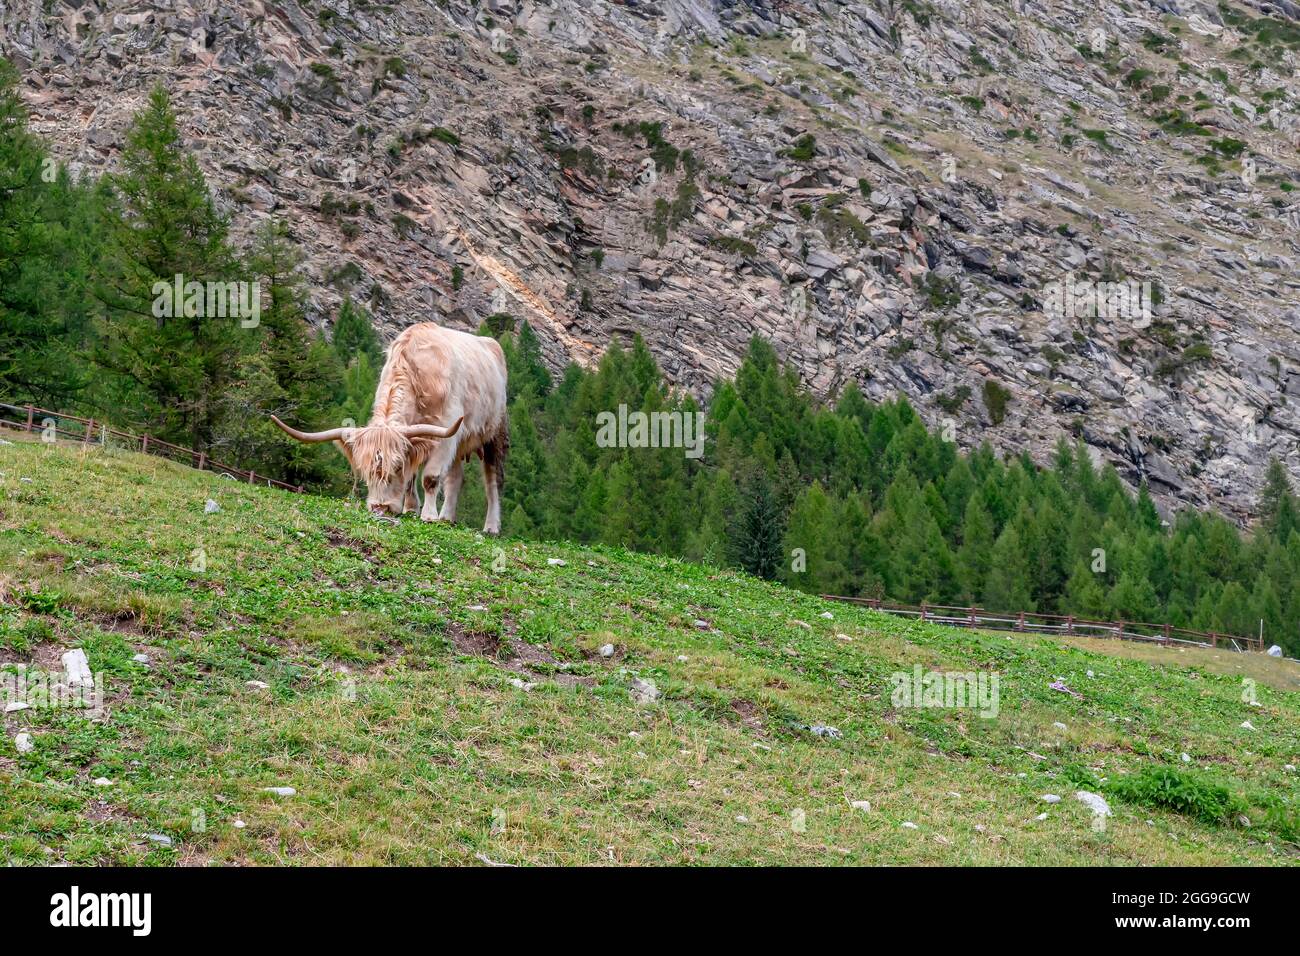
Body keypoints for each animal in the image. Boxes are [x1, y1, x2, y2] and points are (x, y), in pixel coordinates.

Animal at [271, 322, 509, 533]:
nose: (380, 507)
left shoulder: (445, 435)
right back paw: (447, 517)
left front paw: (428, 516)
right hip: (461, 443)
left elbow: (430, 477)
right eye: (365, 471)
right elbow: (413, 475)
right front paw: (411, 509)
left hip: (495, 434)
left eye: (395, 467)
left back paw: (491, 527)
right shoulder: (418, 439)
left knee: (493, 481)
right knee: (456, 477)